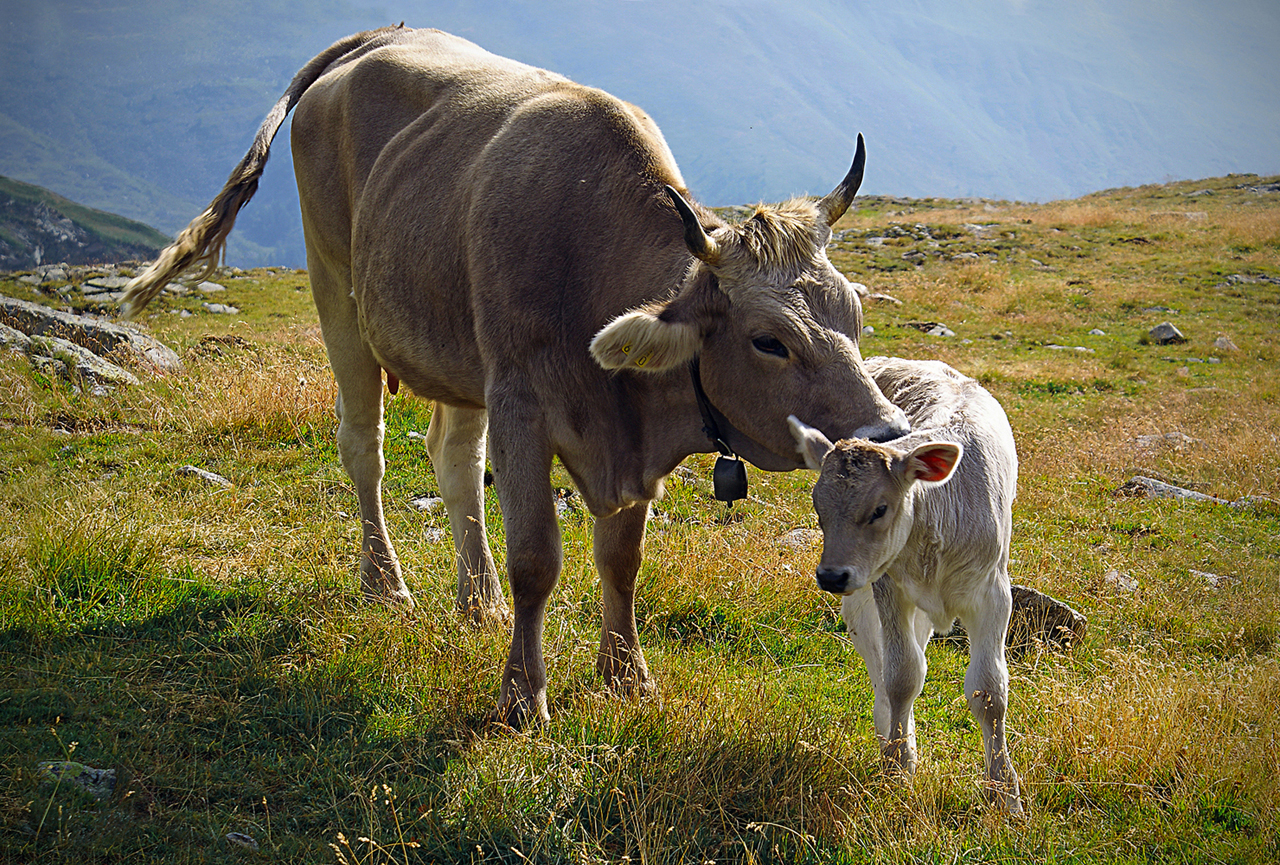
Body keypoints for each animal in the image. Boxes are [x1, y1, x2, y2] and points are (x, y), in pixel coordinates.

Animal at [124, 27, 911, 726]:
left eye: (854, 312)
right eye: (768, 341)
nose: (887, 437)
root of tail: (372, 36)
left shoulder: (607, 439)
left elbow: (621, 559)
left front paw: (627, 676)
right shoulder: (522, 404)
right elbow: (536, 558)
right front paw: (521, 698)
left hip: (459, 353)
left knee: (453, 459)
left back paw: (479, 600)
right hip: (337, 290)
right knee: (364, 447)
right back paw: (386, 585)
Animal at [783, 355, 1024, 808]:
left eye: (880, 509)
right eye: (818, 508)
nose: (831, 575)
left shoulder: (993, 593)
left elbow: (990, 691)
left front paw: (1005, 792)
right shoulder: (888, 588)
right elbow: (901, 676)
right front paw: (898, 767)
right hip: (863, 596)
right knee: (881, 662)